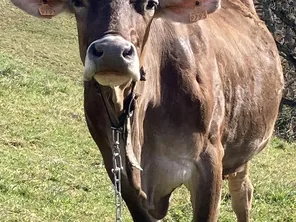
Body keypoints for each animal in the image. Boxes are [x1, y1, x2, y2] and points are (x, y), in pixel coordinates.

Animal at [9, 0, 282, 222]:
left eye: (151, 3)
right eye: (77, 1)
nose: (112, 52)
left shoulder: (209, 160)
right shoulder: (119, 170)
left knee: (243, 193)